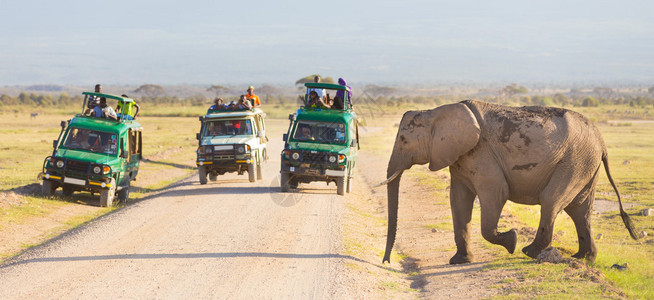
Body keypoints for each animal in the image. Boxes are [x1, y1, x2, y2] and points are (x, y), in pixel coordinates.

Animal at [380, 99, 640, 264]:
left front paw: (511, 241)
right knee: (579, 210)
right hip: (585, 164)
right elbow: (458, 201)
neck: (435, 111)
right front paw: (459, 261)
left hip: (574, 161)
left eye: (403, 140)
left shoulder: (481, 154)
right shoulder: (460, 157)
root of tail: (601, 141)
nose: (386, 262)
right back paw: (583, 259)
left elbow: (497, 193)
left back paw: (529, 252)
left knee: (552, 201)